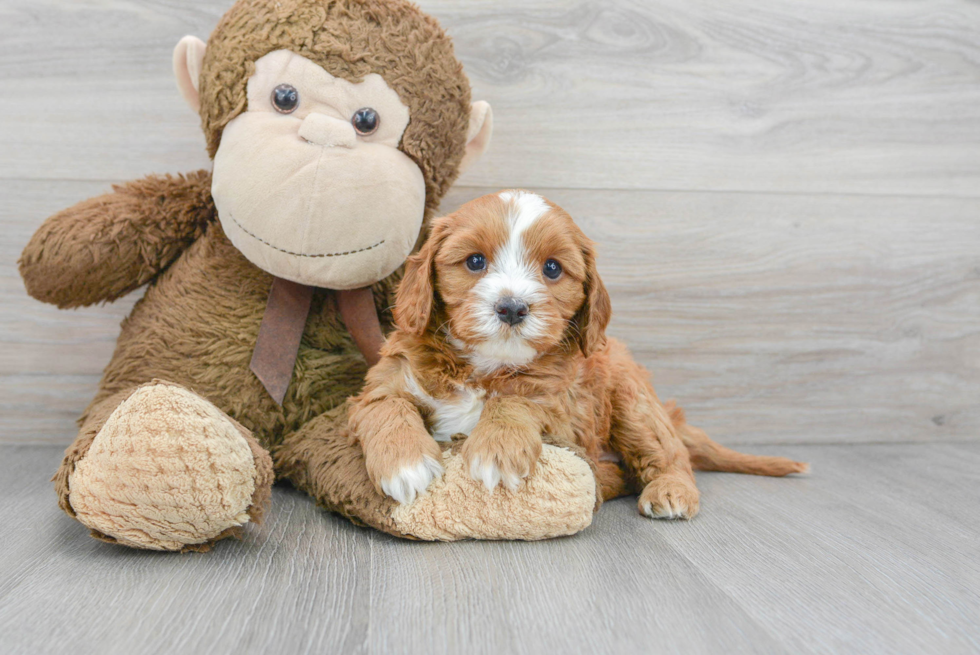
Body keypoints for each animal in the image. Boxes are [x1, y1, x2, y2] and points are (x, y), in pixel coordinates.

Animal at [348, 192, 808, 520]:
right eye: (475, 261)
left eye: (552, 268)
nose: (512, 308)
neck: (486, 366)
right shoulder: (388, 378)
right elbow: (385, 406)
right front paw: (405, 464)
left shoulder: (566, 407)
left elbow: (518, 398)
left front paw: (497, 448)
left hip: (632, 400)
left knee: (668, 456)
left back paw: (670, 490)